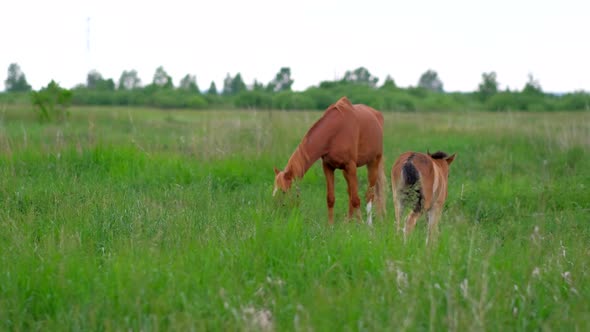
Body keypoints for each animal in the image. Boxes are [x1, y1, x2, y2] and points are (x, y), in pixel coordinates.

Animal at [274, 96, 388, 226]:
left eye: (283, 191)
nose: (277, 210)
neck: (335, 132)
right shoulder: (328, 167)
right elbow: (331, 198)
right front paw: (330, 226)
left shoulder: (351, 166)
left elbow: (356, 199)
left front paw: (360, 225)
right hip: (346, 171)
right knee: (350, 191)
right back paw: (349, 221)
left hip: (373, 162)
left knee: (370, 194)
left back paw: (369, 224)